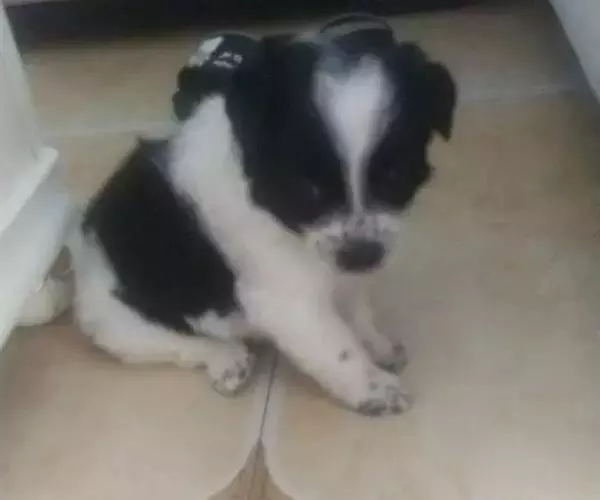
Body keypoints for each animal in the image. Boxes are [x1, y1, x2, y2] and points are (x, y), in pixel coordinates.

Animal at [69, 21, 456, 416]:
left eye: (394, 176)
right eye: (308, 187)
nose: (363, 255)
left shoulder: (348, 270)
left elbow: (357, 310)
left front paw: (376, 345)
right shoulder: (287, 300)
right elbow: (338, 349)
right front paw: (376, 388)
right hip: (118, 324)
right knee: (183, 343)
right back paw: (227, 360)